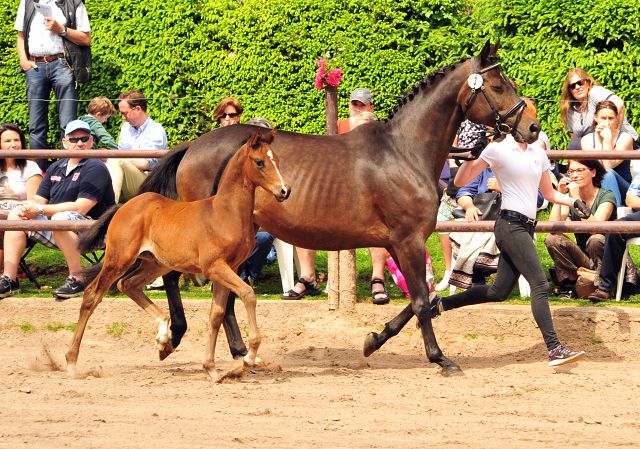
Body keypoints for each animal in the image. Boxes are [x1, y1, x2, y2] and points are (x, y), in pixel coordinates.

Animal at [63, 128, 288, 380]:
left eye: (277, 161)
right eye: (259, 162)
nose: (284, 190)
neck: (225, 212)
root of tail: (124, 207)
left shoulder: (228, 267)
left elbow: (216, 314)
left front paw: (211, 369)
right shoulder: (214, 267)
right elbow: (248, 294)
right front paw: (248, 357)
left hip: (155, 263)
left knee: (128, 284)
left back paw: (164, 338)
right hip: (119, 258)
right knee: (92, 294)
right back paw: (71, 362)